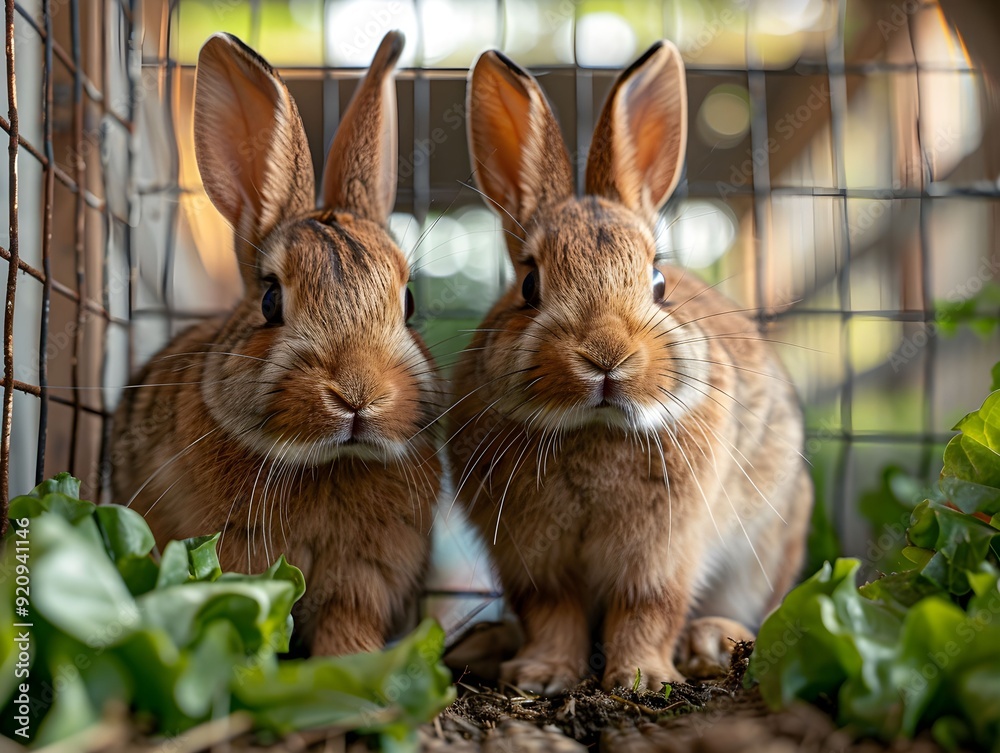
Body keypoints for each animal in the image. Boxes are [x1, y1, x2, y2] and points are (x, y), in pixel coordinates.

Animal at [111, 31, 443, 656]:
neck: (330, 463)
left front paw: (354, 664)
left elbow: (349, 621)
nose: (358, 394)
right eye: (270, 302)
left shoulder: (366, 574)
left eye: (409, 304)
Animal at [448, 40, 813, 694]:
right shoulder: (532, 559)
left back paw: (711, 642)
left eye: (659, 283)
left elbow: (648, 606)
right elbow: (552, 613)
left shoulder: (665, 548)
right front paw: (541, 675)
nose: (606, 356)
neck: (593, 427)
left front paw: (643, 679)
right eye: (529, 286)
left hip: (768, 549)